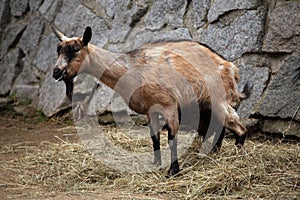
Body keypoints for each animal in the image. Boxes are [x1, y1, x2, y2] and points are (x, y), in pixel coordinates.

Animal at [52, 25, 247, 176]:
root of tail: (229, 67)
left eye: (75, 50)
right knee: (219, 125)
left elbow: (172, 139)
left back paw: (236, 156)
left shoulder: (170, 107)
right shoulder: (149, 110)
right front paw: (155, 164)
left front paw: (173, 171)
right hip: (206, 105)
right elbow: (154, 138)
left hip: (218, 100)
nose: (56, 72)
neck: (132, 68)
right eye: (59, 50)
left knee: (238, 127)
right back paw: (214, 153)